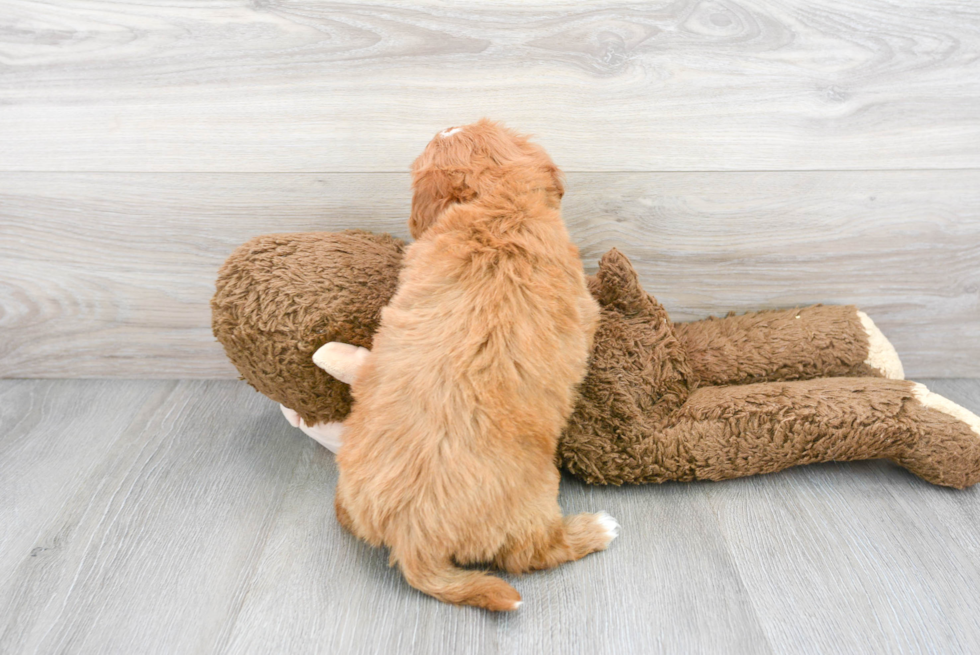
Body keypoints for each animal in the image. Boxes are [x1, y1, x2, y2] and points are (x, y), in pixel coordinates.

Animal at [334, 120, 616, 612]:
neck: (497, 207)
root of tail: (412, 539)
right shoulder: (585, 310)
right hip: (534, 505)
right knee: (535, 553)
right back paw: (596, 529)